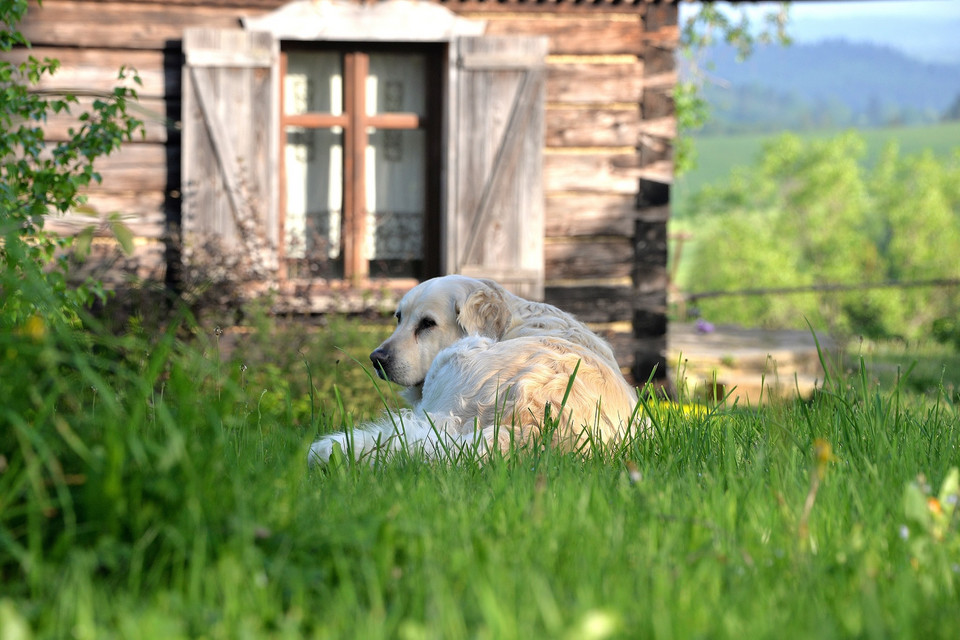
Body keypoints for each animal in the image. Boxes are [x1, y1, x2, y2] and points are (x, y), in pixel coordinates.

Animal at [310, 278, 644, 462]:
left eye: (427, 324)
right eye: (398, 318)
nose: (376, 358)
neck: (513, 319)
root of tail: (538, 428)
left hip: (457, 357)